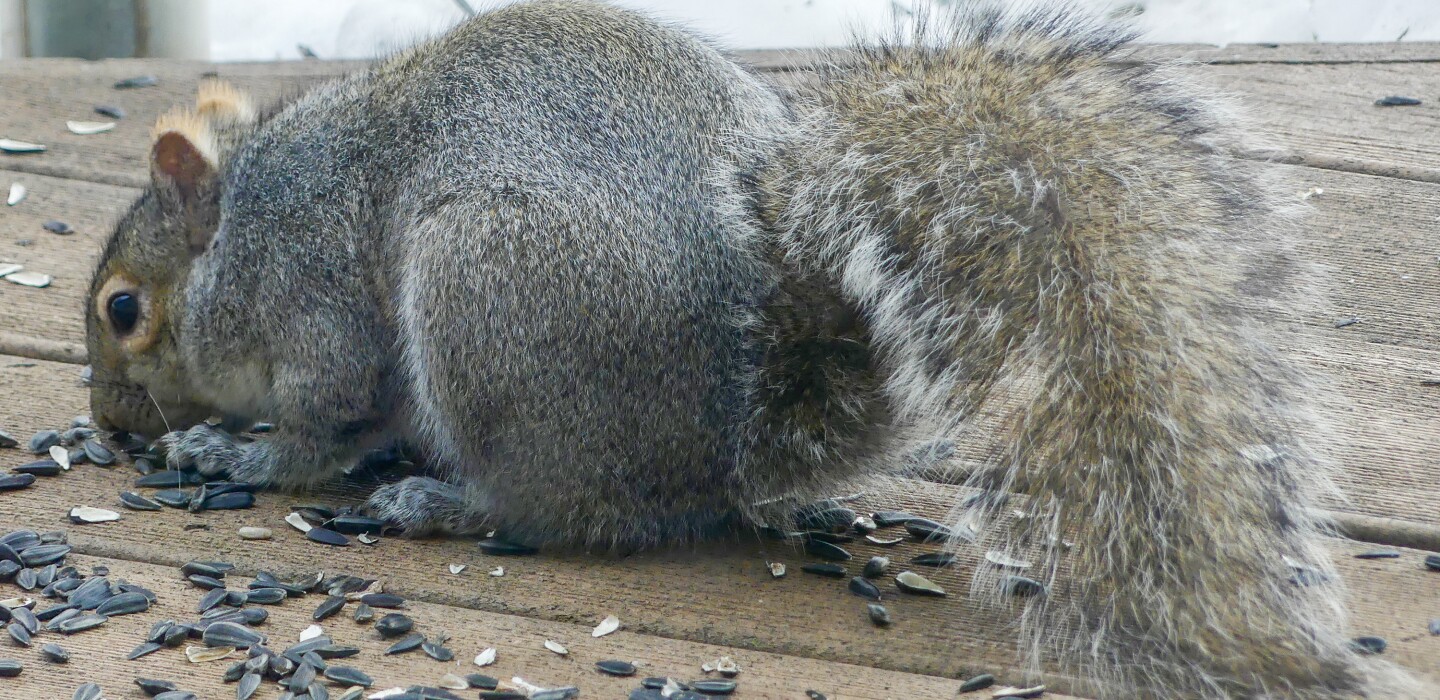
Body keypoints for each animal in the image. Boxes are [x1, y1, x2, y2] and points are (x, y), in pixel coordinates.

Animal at [83, 1, 1420, 697]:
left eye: (122, 310)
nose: (104, 422)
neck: (238, 224)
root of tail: (732, 418)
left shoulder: (311, 291)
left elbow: (325, 419)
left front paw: (231, 452)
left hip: (486, 292)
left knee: (570, 511)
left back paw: (447, 499)